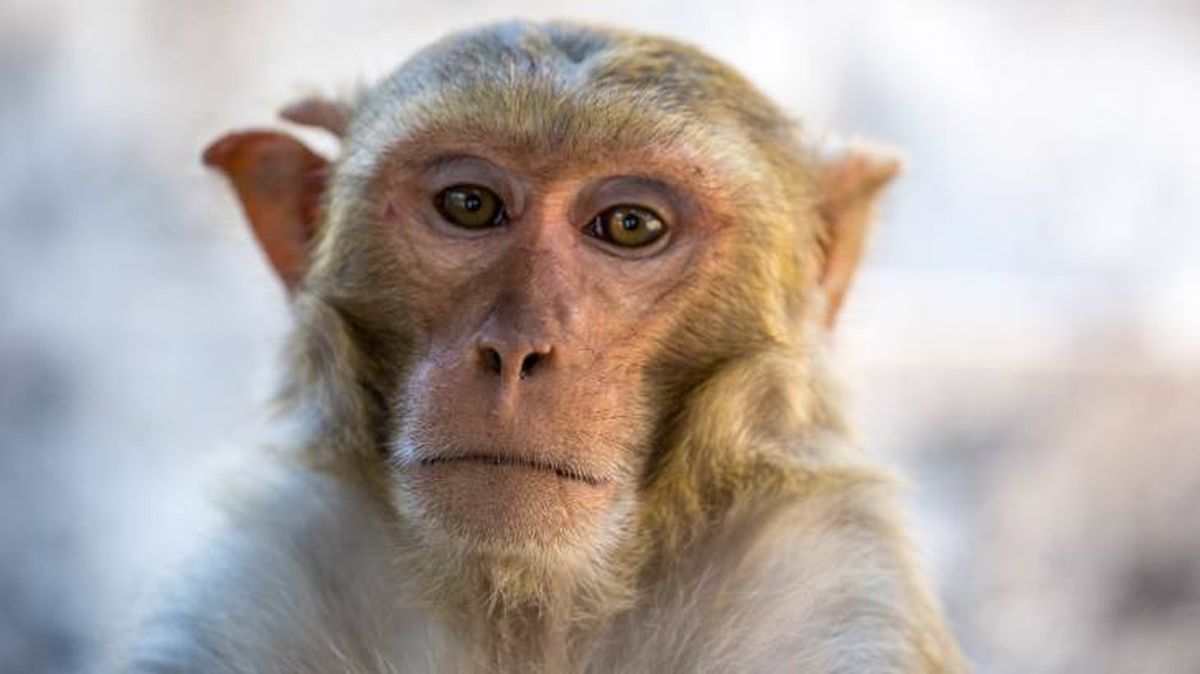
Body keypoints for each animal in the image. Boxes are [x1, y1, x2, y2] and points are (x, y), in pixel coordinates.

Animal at [129, 21, 967, 673]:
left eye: (629, 225)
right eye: (470, 205)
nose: (516, 350)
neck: (523, 608)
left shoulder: (834, 591)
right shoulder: (253, 583)